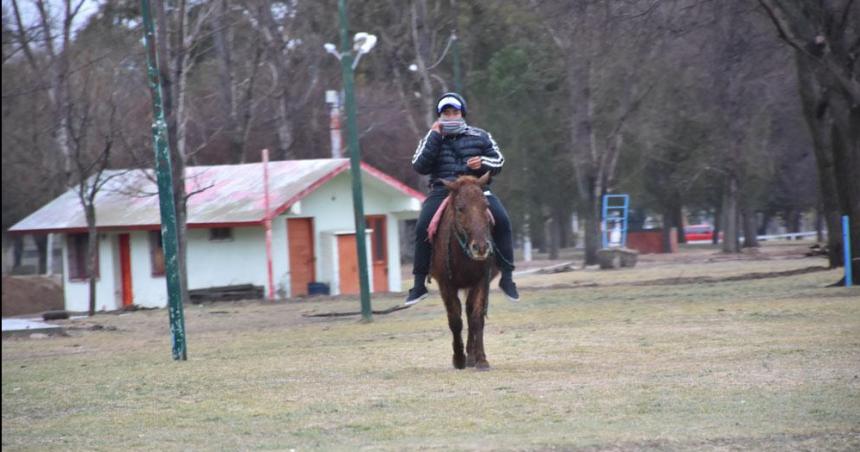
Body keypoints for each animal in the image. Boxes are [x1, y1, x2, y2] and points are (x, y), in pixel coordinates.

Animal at [428, 173, 498, 370]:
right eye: (460, 208)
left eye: (486, 206)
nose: (481, 247)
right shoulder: (446, 284)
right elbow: (455, 320)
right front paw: (458, 358)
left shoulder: (481, 281)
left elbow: (476, 318)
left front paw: (481, 359)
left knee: (469, 312)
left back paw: (472, 356)